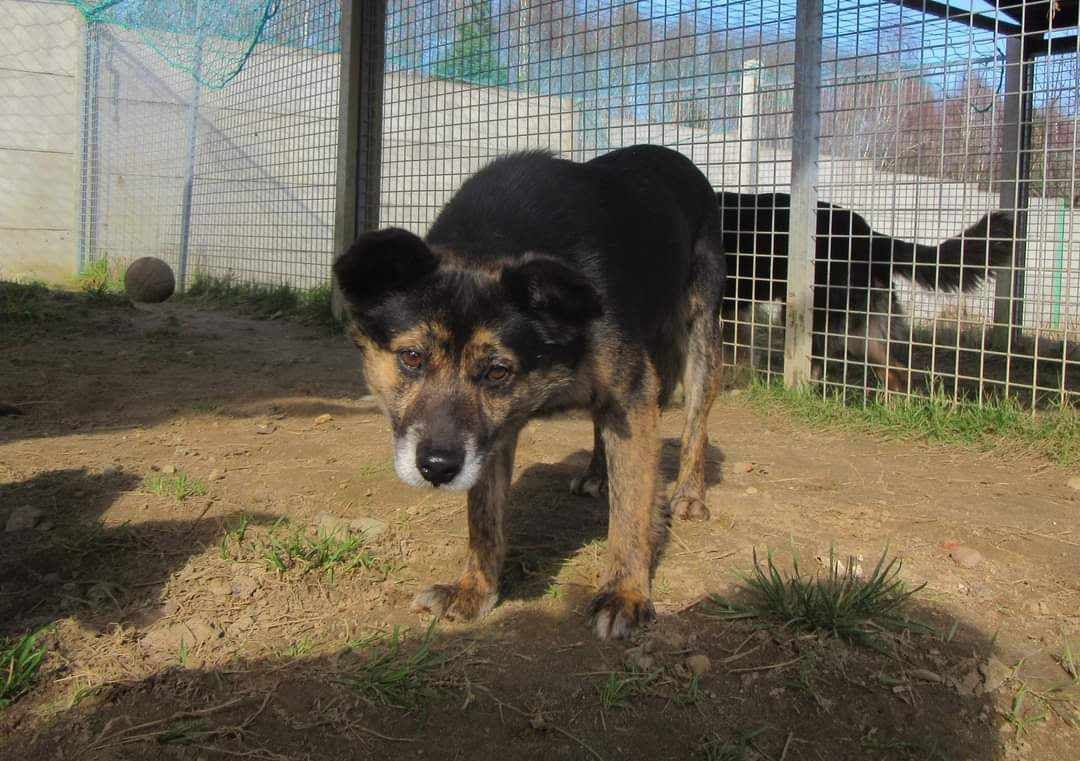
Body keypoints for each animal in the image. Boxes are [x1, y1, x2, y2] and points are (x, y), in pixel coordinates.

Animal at [332, 145, 725, 639]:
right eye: (412, 357)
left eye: (498, 372)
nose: (437, 468)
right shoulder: (492, 435)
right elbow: (483, 515)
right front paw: (474, 588)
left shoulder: (632, 394)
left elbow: (631, 511)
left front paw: (625, 593)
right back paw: (597, 472)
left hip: (700, 336)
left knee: (695, 425)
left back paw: (690, 493)